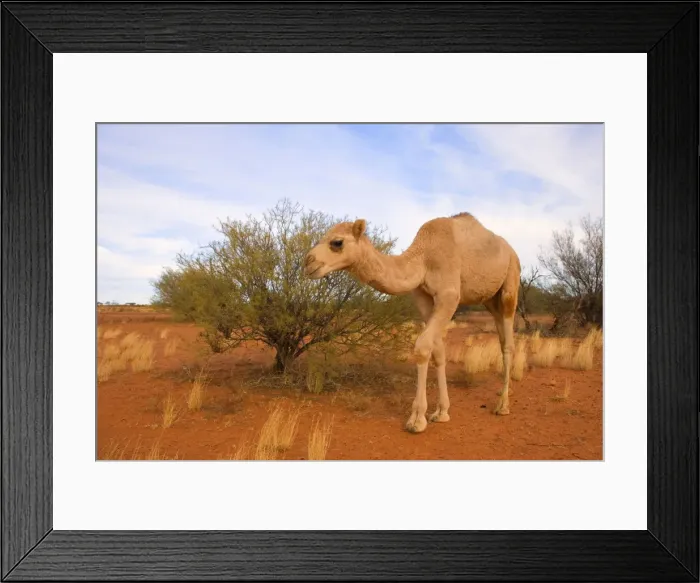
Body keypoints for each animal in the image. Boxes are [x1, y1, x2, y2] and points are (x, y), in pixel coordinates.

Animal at [304, 212, 521, 433]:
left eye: (337, 242)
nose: (308, 262)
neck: (423, 257)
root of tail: (511, 251)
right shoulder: (423, 297)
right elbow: (438, 351)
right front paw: (441, 412)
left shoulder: (449, 295)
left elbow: (423, 347)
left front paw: (417, 419)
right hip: (490, 299)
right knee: (501, 334)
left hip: (510, 282)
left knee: (508, 343)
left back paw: (503, 405)